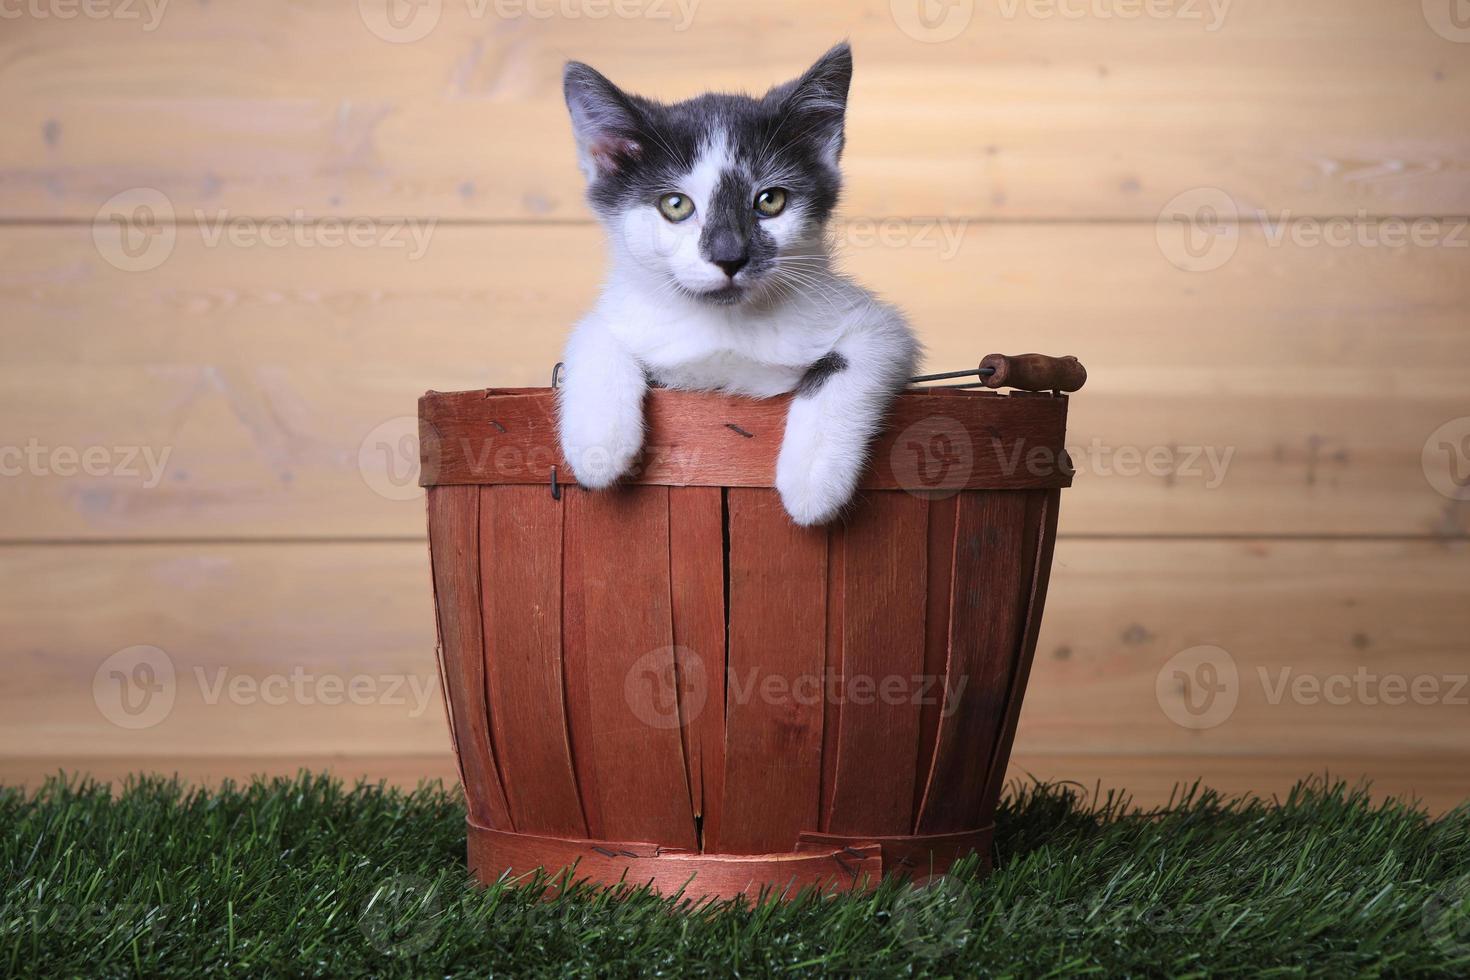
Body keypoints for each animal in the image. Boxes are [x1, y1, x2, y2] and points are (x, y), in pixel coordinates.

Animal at [552, 44, 911, 528]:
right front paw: (598, 442)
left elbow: (848, 360)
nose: (729, 257)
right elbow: (594, 330)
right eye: (675, 205)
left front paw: (814, 476)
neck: (725, 325)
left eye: (770, 200)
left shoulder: (883, 330)